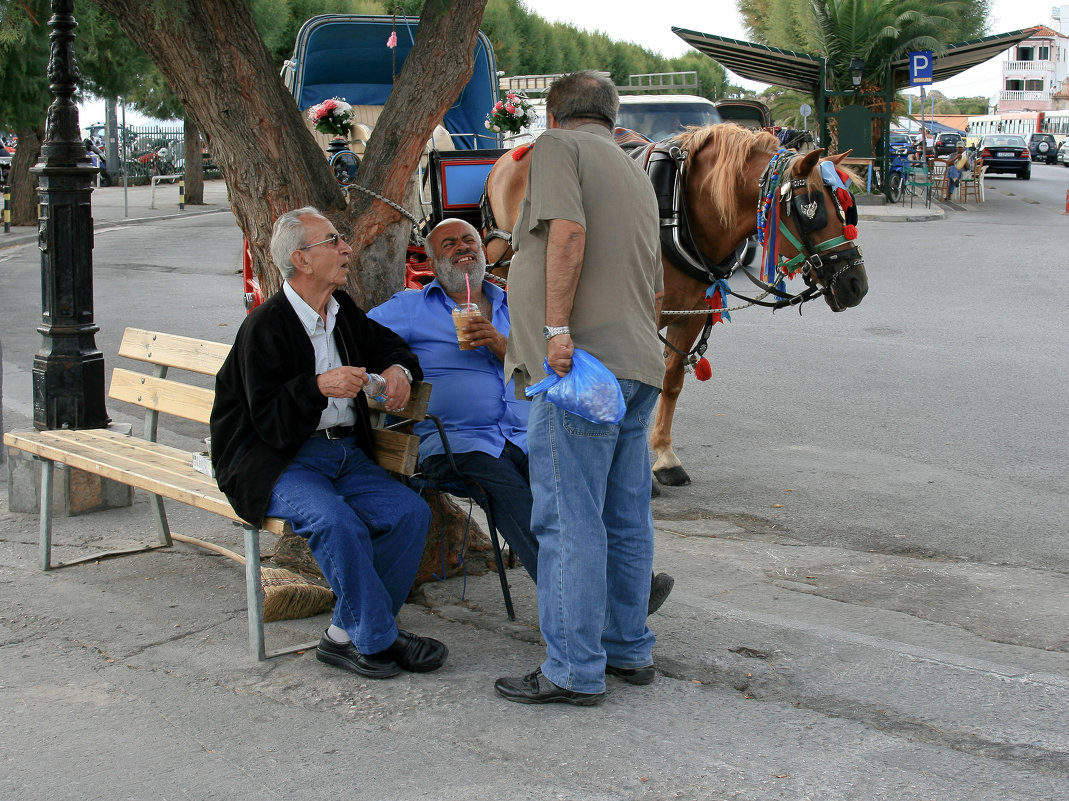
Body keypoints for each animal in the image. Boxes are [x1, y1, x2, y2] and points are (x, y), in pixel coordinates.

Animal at [485, 124, 868, 483]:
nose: (856, 284)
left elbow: (669, 382)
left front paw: (665, 457)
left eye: (847, 209)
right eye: (810, 208)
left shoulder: (693, 313)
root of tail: (511, 155)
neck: (680, 210)